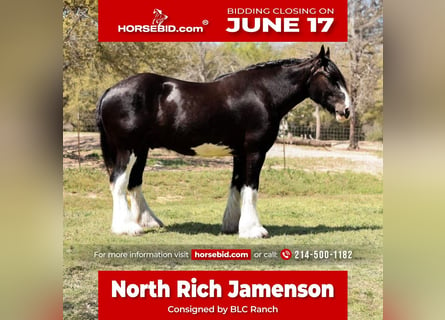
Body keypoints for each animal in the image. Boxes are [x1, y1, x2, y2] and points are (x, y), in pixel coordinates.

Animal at [97, 46, 350, 239]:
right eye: (331, 78)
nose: (346, 110)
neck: (262, 93)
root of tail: (110, 90)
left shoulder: (239, 153)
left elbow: (237, 185)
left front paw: (233, 225)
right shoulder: (255, 151)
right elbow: (251, 188)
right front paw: (254, 230)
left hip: (141, 149)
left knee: (134, 183)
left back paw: (148, 221)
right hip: (127, 149)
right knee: (118, 182)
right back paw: (126, 227)